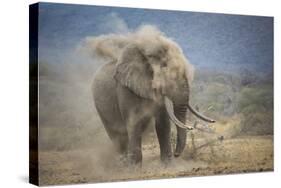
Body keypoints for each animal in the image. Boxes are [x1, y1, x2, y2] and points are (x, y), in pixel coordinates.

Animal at [91, 25, 213, 165]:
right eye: (164, 68)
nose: (177, 154)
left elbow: (163, 123)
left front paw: (167, 165)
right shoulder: (125, 88)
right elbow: (134, 122)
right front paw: (135, 167)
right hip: (100, 107)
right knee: (116, 134)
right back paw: (123, 163)